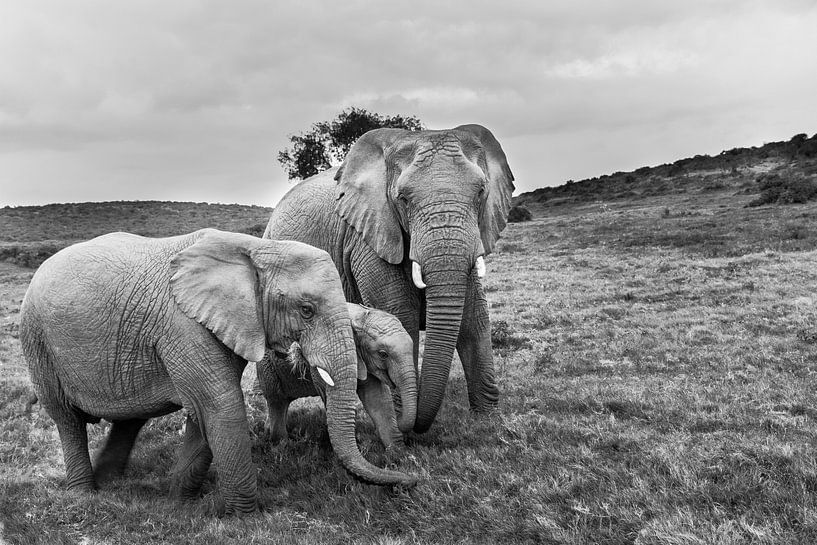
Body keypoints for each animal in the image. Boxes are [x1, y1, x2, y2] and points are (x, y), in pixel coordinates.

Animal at [256, 303, 416, 450]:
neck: (359, 317)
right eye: (383, 354)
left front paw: (397, 453)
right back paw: (281, 445)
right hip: (267, 367)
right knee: (276, 400)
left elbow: (377, 398)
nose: (399, 416)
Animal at [264, 124, 515, 432]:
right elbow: (402, 314)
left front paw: (487, 424)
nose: (417, 424)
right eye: (403, 199)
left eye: (480, 193)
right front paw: (401, 422)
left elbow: (473, 319)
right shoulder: (367, 239)